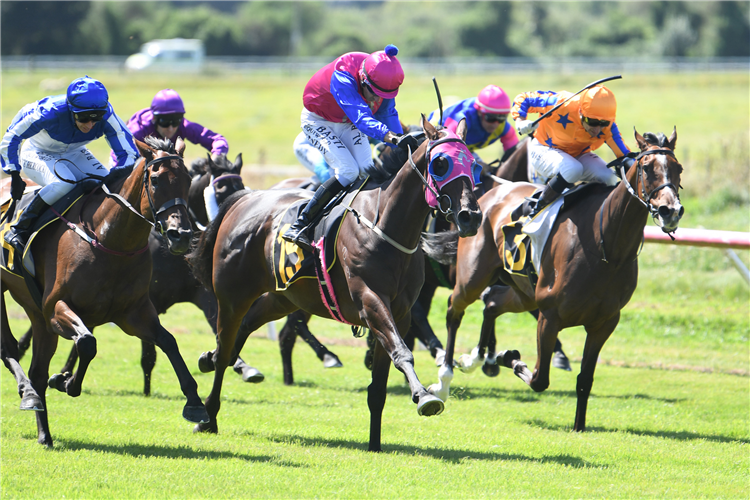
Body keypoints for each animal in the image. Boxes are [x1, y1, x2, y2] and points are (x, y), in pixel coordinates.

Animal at [0, 136, 209, 446]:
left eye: (188, 179)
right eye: (156, 180)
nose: (180, 235)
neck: (109, 238)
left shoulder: (133, 313)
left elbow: (169, 341)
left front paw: (195, 403)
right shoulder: (56, 307)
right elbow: (87, 343)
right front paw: (65, 381)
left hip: (35, 311)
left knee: (37, 369)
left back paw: (44, 433)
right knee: (10, 349)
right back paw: (28, 394)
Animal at [187, 115, 482, 452]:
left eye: (473, 164)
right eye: (441, 163)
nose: (470, 216)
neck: (385, 226)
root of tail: (245, 198)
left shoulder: (401, 312)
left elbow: (380, 383)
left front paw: (375, 443)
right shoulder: (370, 301)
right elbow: (403, 352)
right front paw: (424, 397)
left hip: (283, 298)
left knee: (244, 329)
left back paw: (208, 360)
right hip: (232, 295)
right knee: (226, 348)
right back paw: (208, 415)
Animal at [428, 129, 688, 430]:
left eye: (678, 168)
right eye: (647, 168)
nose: (671, 211)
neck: (607, 246)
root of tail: (489, 195)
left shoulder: (604, 322)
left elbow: (585, 380)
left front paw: (579, 426)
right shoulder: (550, 316)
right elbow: (539, 379)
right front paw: (511, 358)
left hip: (524, 293)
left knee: (492, 303)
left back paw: (479, 358)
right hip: (473, 278)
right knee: (454, 310)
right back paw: (444, 380)